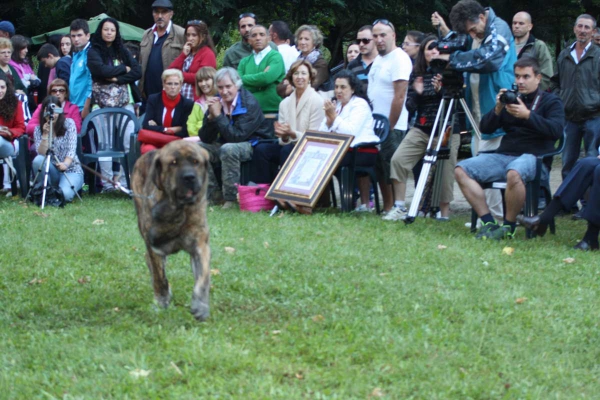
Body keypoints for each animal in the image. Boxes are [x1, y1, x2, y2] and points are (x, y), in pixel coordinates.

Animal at [132, 141, 212, 322]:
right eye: (173, 163)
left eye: (196, 162)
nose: (189, 177)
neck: (177, 210)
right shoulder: (154, 247)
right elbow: (160, 277)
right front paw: (162, 299)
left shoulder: (200, 245)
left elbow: (203, 277)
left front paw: (200, 305)